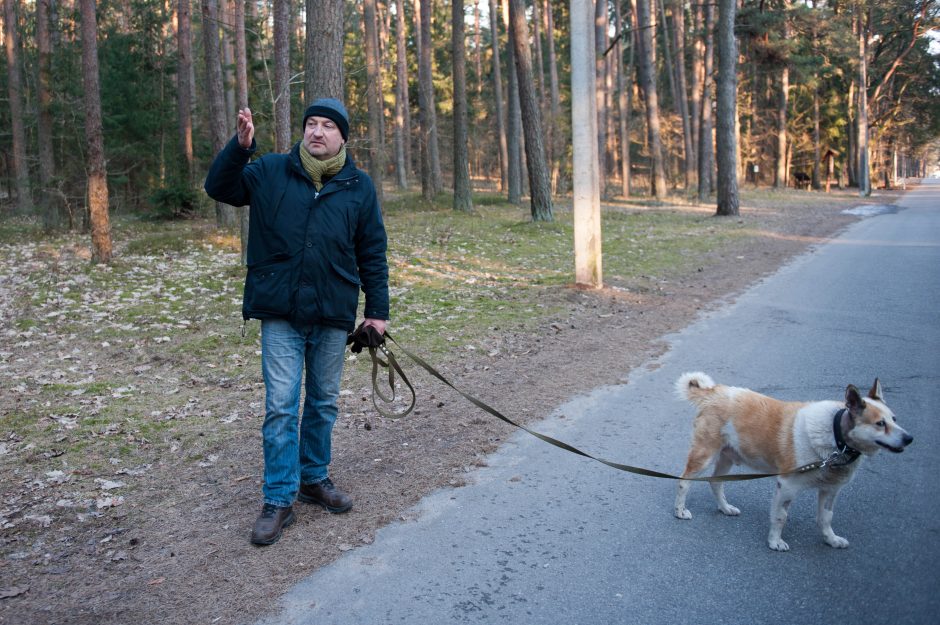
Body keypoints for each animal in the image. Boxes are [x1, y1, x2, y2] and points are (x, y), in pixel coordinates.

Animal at [672, 370, 916, 552]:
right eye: (880, 423)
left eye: (894, 419)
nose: (909, 438)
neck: (834, 436)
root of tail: (712, 392)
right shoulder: (787, 485)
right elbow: (781, 517)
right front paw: (774, 542)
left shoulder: (831, 491)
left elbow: (826, 518)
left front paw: (830, 539)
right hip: (704, 455)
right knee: (684, 481)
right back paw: (680, 510)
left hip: (727, 457)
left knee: (716, 483)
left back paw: (725, 508)